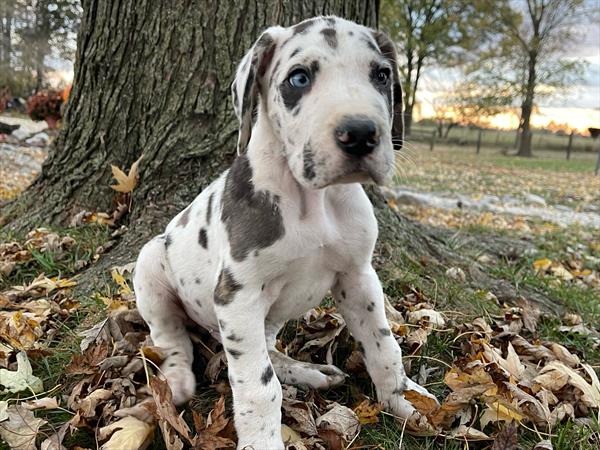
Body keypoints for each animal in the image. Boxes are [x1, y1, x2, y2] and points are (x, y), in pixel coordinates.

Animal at [135, 14, 436, 450]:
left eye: (381, 75)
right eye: (299, 78)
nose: (361, 133)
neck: (313, 202)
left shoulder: (359, 277)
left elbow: (384, 346)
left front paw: (405, 400)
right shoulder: (237, 296)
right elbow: (258, 386)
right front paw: (262, 440)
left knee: (270, 350)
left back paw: (310, 372)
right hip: (151, 264)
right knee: (171, 338)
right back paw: (175, 379)